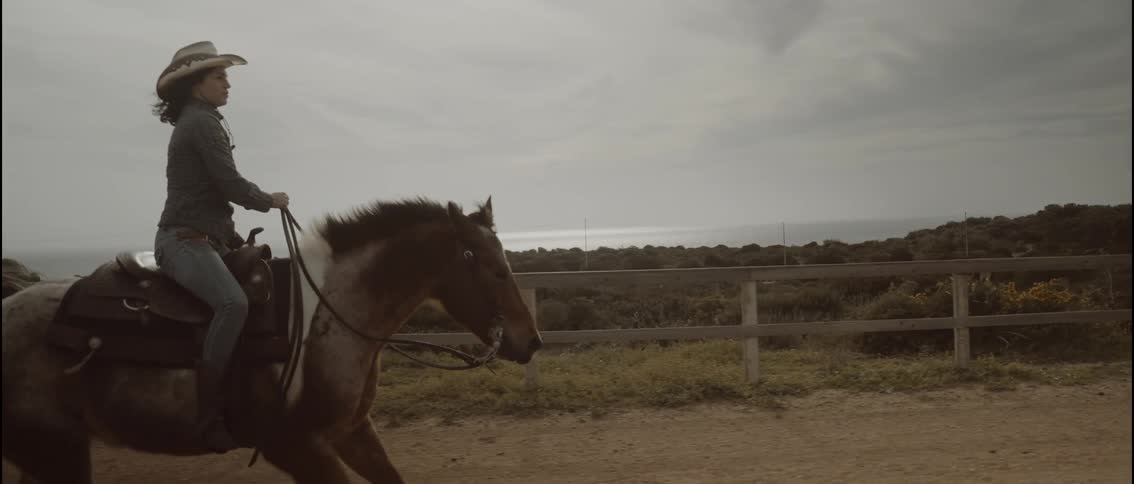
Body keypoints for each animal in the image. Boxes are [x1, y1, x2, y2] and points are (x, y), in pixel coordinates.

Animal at [2, 196, 543, 484]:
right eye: (493, 268)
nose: (531, 341)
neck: (329, 314)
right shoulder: (297, 447)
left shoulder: (351, 433)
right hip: (57, 452)